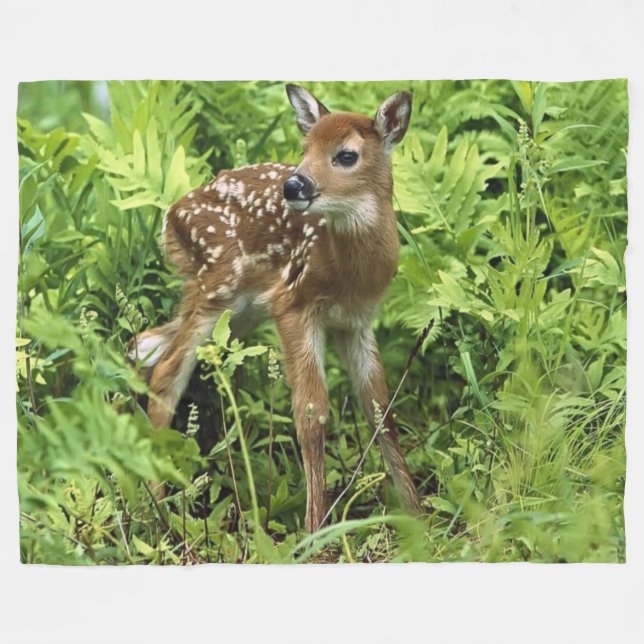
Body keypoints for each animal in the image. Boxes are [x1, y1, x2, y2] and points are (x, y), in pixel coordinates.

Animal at [130, 84, 422, 532]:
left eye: (346, 155)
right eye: (305, 147)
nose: (294, 185)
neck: (347, 273)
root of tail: (170, 216)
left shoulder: (357, 322)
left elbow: (380, 411)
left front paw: (419, 515)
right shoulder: (293, 305)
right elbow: (311, 414)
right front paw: (315, 529)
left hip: (237, 310)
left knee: (144, 344)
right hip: (218, 286)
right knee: (166, 371)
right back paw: (158, 509)